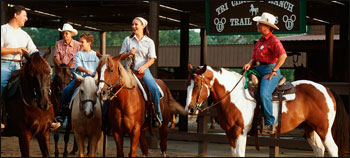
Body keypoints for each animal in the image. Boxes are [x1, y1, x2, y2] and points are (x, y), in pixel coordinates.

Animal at [186, 64, 348, 157]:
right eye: (187, 84)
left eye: (196, 85)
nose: (190, 109)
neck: (233, 95)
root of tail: (326, 89)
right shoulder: (230, 133)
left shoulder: (240, 132)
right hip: (310, 129)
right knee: (319, 149)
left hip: (324, 129)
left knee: (333, 149)